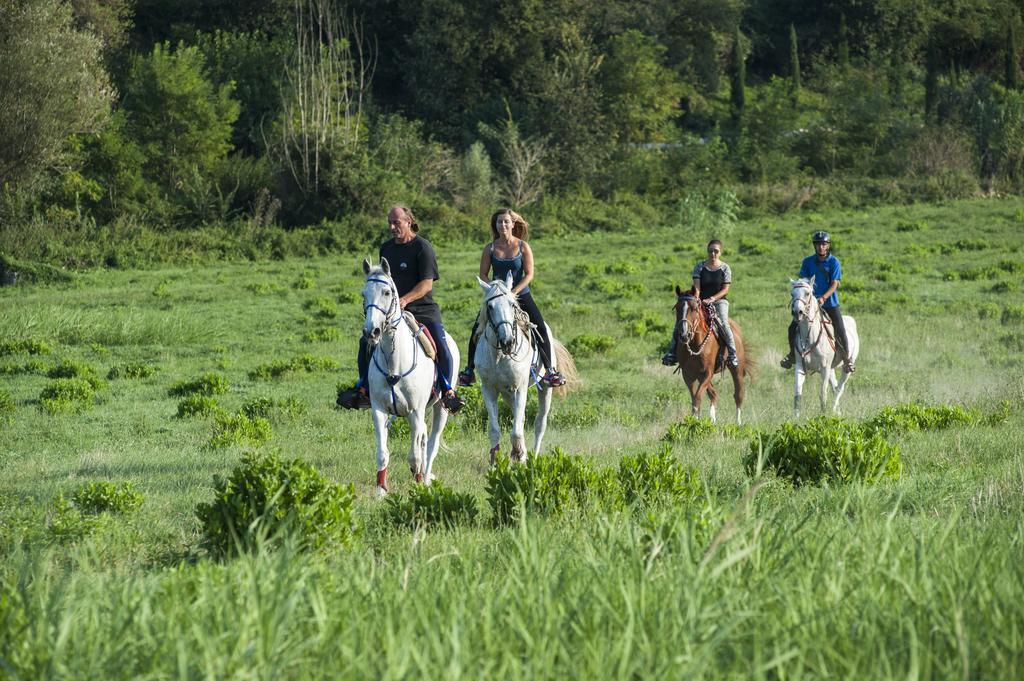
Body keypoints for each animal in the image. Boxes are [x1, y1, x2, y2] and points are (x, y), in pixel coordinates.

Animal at [360, 258, 456, 497]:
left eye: (387, 292)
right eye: (363, 294)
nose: (371, 332)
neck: (394, 361)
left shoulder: (414, 412)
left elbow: (414, 455)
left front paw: (419, 483)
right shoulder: (379, 410)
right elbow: (382, 452)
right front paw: (381, 490)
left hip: (440, 408)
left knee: (431, 444)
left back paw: (426, 478)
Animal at [473, 274, 577, 464]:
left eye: (512, 304)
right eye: (490, 307)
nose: (508, 341)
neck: (500, 355)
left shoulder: (520, 388)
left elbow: (516, 431)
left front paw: (519, 455)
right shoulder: (488, 389)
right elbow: (495, 429)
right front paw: (495, 459)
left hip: (545, 388)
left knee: (539, 423)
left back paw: (533, 456)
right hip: (507, 393)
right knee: (520, 419)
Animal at [671, 284, 753, 421]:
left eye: (694, 308)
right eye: (677, 308)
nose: (684, 334)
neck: (695, 345)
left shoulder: (707, 373)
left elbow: (698, 397)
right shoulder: (688, 375)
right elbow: (695, 398)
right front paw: (694, 420)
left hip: (737, 369)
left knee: (738, 395)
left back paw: (738, 422)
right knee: (713, 394)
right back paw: (712, 419)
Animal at [790, 274, 856, 413]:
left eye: (807, 293)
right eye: (792, 294)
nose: (797, 312)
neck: (809, 338)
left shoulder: (824, 368)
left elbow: (822, 393)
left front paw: (823, 414)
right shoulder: (800, 367)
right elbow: (797, 393)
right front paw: (796, 416)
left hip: (846, 367)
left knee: (839, 389)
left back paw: (834, 410)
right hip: (831, 369)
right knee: (834, 387)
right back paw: (838, 412)